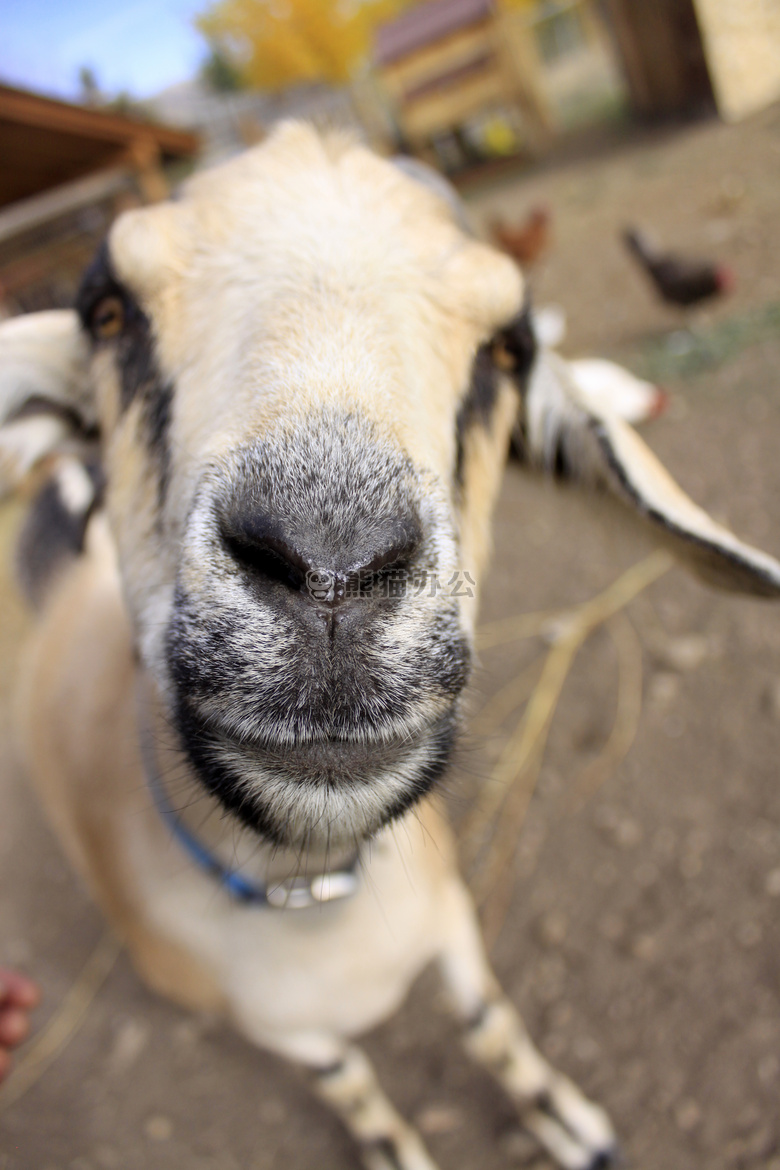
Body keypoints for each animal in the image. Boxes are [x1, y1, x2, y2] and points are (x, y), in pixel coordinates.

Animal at [1, 121, 780, 1170]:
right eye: (107, 312)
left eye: (509, 345)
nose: (332, 563)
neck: (322, 905)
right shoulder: (297, 1038)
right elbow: (364, 1098)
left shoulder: (451, 925)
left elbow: (491, 1028)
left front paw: (574, 1126)